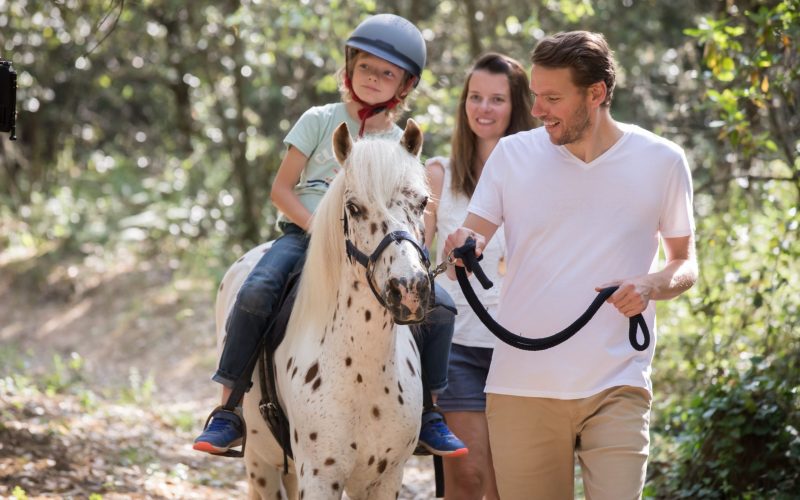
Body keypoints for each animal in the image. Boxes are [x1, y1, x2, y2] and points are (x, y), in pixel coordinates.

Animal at [214, 121, 432, 500]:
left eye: (422, 202)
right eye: (355, 208)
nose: (409, 289)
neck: (364, 374)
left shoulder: (386, 478)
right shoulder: (319, 477)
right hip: (259, 462)